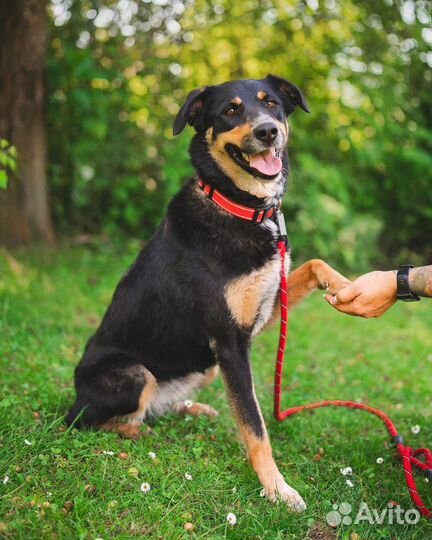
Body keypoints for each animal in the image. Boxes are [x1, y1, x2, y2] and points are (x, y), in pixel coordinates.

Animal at [68, 75, 352, 510]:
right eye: (230, 111)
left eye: (272, 104)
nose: (267, 131)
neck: (243, 208)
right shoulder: (231, 343)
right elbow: (255, 426)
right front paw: (277, 489)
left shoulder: (265, 306)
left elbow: (314, 265)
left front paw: (346, 287)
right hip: (134, 374)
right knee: (96, 422)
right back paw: (138, 431)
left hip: (205, 367)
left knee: (157, 408)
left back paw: (189, 409)